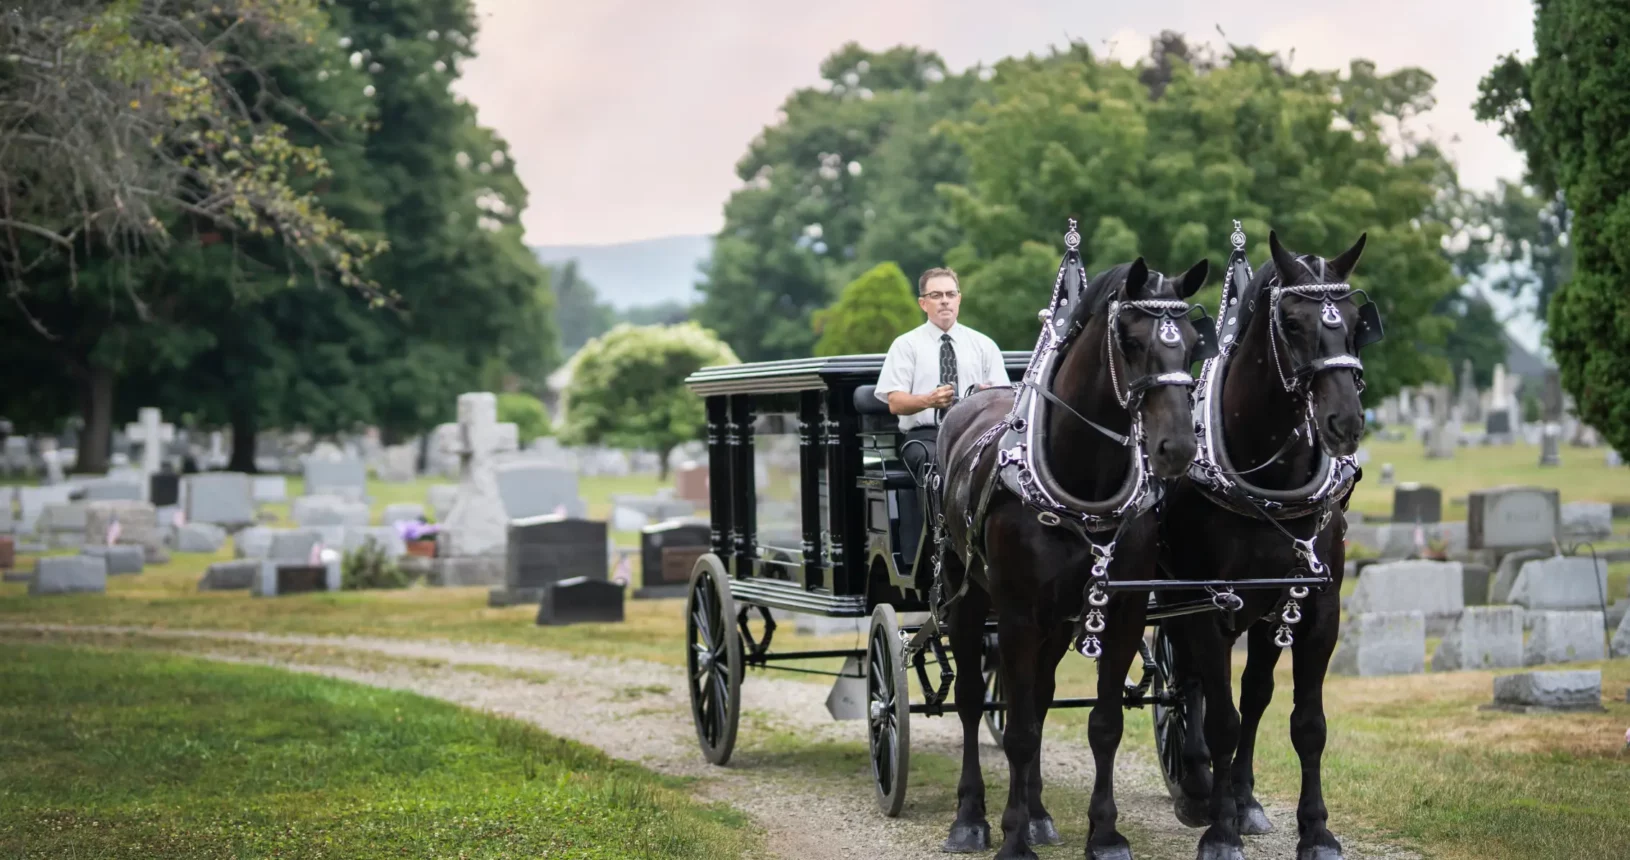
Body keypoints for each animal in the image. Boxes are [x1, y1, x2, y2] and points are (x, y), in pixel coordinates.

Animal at [932, 224, 1212, 853]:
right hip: (967, 595)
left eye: (1191, 341)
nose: (1178, 447)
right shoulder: (1015, 613)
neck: (1083, 487)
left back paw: (1038, 812)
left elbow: (1100, 722)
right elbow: (1015, 728)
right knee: (971, 701)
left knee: (1038, 695)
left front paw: (1104, 833)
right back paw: (971, 817)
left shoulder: (1121, 610)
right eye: (1130, 340)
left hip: (1059, 620)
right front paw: (1012, 839)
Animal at [1167, 228, 1382, 860]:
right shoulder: (1205, 606)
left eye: (1356, 319)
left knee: (1256, 691)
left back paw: (1243, 798)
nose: (1344, 422)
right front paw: (1219, 831)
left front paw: (1315, 830)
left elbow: (1305, 723)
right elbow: (1221, 720)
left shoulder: (1319, 606)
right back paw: (1200, 787)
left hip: (1266, 612)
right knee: (1192, 686)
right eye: (1290, 322)